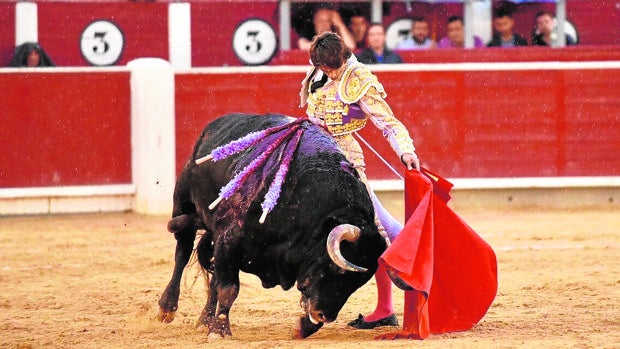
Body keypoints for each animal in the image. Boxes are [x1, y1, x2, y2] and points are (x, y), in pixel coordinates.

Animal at [157, 113, 386, 338]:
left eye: (358, 282)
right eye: (338, 271)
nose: (324, 315)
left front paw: (303, 327)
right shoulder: (229, 238)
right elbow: (229, 288)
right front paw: (220, 331)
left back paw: (204, 320)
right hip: (182, 202)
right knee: (183, 252)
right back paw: (167, 308)